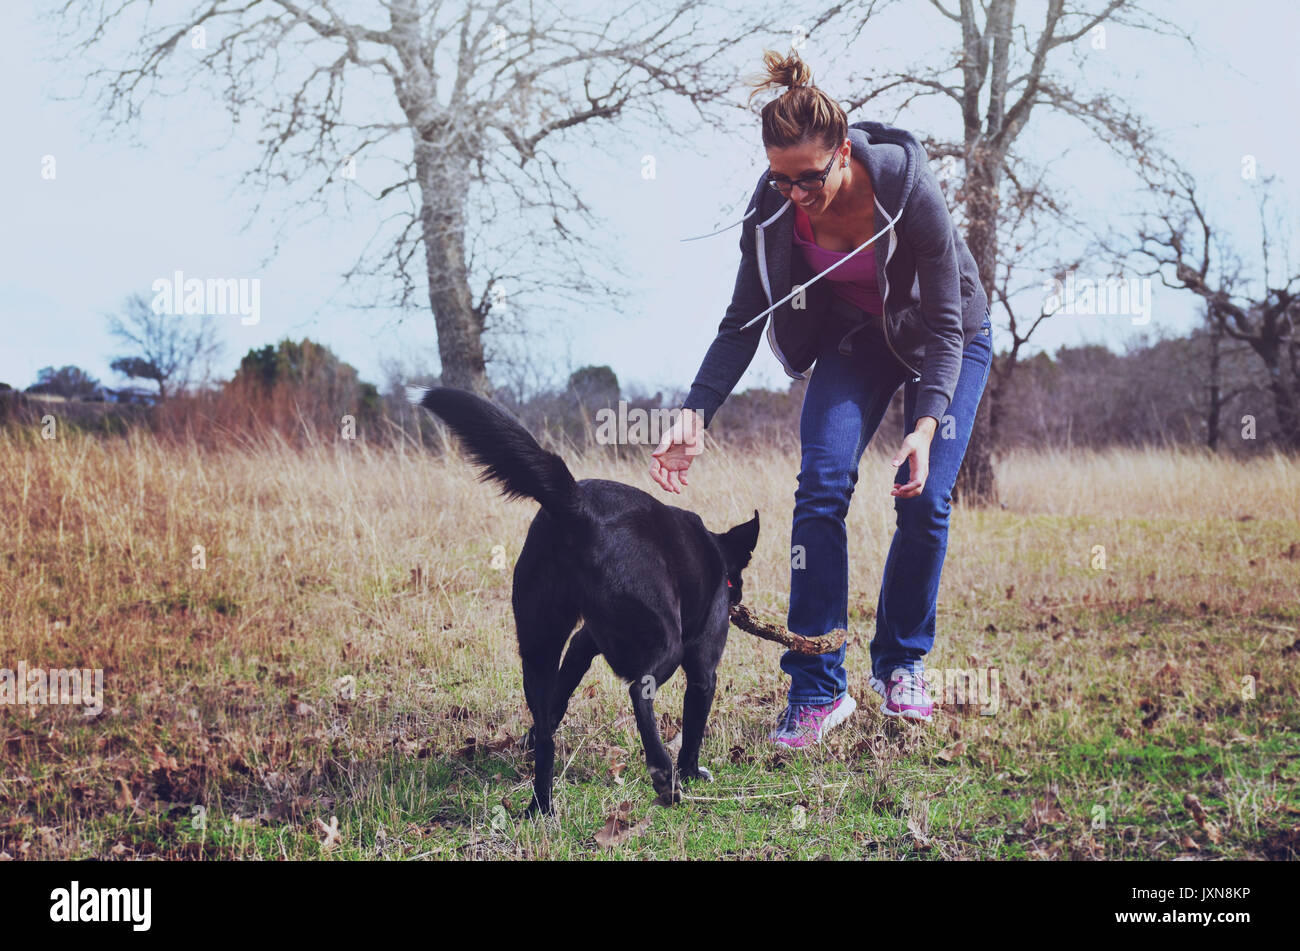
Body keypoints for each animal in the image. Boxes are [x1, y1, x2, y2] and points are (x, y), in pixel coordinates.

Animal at [413, 387, 759, 815]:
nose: (739, 597)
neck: (716, 551)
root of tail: (579, 507)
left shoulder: (582, 643)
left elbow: (561, 694)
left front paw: (531, 736)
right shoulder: (703, 669)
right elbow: (694, 726)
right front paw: (692, 771)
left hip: (538, 643)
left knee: (547, 730)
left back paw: (541, 807)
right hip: (668, 643)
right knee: (639, 693)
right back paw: (664, 777)